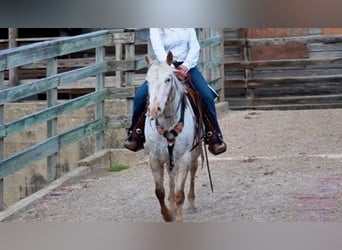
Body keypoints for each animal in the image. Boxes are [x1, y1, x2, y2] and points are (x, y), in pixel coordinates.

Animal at [143, 51, 202, 222]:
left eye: (168, 79)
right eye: (147, 81)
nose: (154, 109)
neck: (169, 122)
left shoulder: (184, 157)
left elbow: (179, 194)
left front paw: (179, 217)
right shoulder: (155, 157)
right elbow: (159, 191)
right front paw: (168, 214)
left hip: (195, 152)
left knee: (193, 170)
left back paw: (191, 203)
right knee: (171, 176)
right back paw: (172, 207)